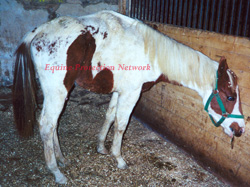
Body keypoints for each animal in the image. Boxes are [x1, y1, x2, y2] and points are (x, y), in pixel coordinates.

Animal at [12, 10, 245, 183]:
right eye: (230, 97)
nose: (240, 129)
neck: (152, 52)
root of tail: (38, 32)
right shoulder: (132, 93)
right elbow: (121, 124)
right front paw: (119, 158)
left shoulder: (120, 91)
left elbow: (109, 117)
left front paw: (101, 147)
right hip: (58, 92)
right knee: (47, 125)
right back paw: (56, 172)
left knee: (53, 125)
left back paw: (61, 159)